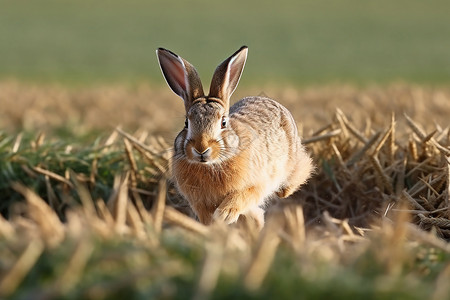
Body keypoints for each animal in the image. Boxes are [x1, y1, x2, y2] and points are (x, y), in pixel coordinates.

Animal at [156, 45, 312, 227]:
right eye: (186, 123)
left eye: (223, 122)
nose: (201, 149)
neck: (211, 165)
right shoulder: (200, 203)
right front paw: (215, 225)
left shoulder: (254, 185)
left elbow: (241, 196)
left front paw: (224, 215)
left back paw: (282, 192)